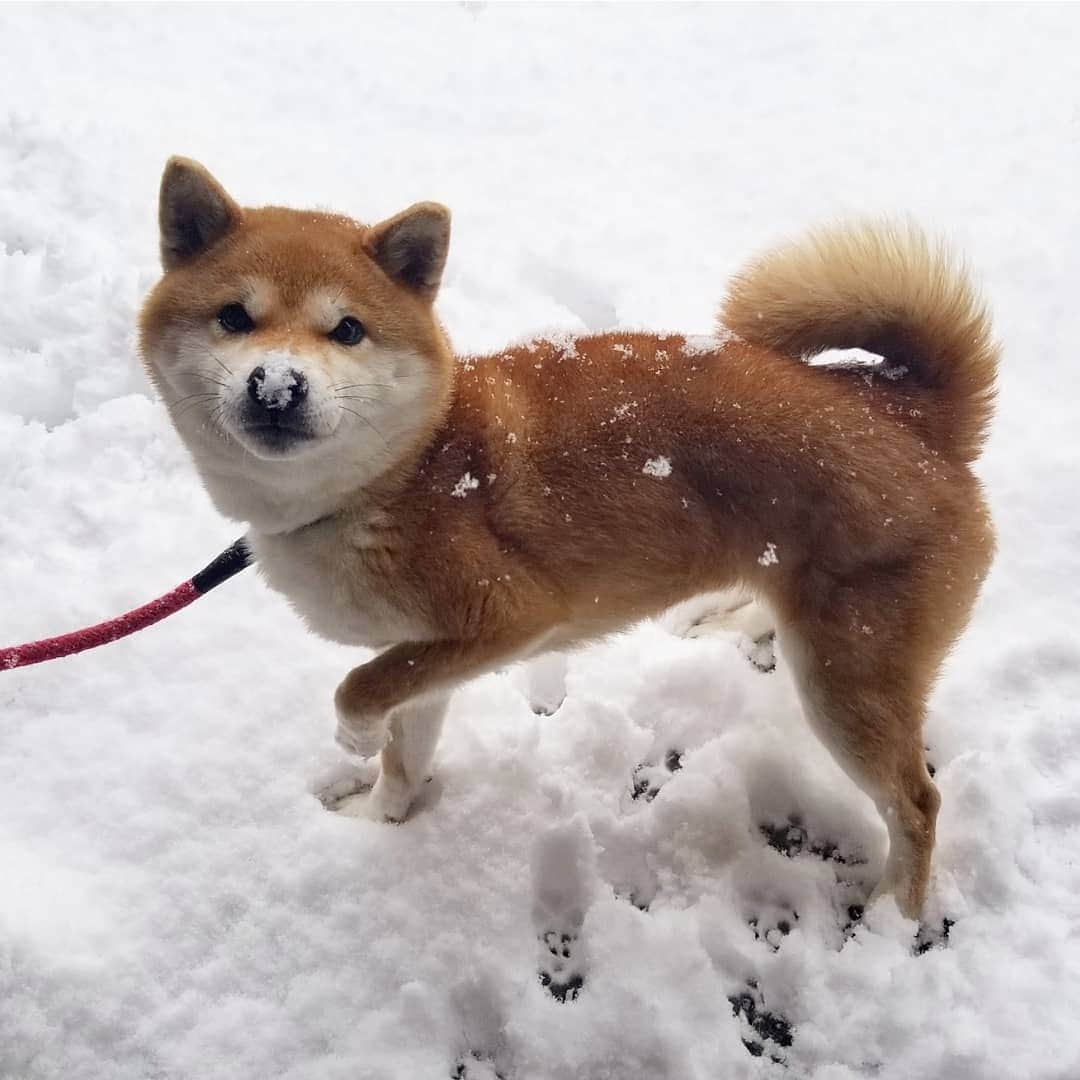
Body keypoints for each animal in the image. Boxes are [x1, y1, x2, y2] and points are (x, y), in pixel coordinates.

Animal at [141, 159, 993, 920]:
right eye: (233, 317)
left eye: (346, 329)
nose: (277, 387)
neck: (399, 474)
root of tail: (912, 414)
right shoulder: (426, 653)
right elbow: (404, 750)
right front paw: (381, 821)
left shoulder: (506, 617)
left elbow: (357, 689)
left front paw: (353, 738)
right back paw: (725, 618)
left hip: (847, 685)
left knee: (917, 803)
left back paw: (893, 917)